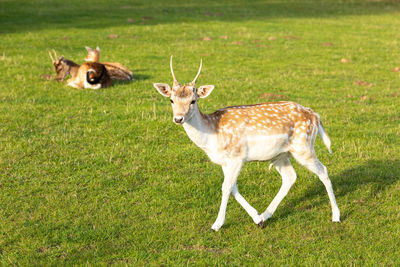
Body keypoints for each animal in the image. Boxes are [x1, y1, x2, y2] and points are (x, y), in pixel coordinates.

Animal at [153, 56, 340, 232]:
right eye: (171, 100)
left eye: (193, 100)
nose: (178, 118)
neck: (212, 136)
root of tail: (315, 116)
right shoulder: (225, 161)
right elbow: (233, 188)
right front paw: (257, 219)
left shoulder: (236, 157)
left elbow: (226, 187)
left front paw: (216, 225)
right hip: (280, 155)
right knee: (290, 176)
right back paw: (265, 215)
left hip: (304, 147)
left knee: (323, 171)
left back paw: (336, 216)